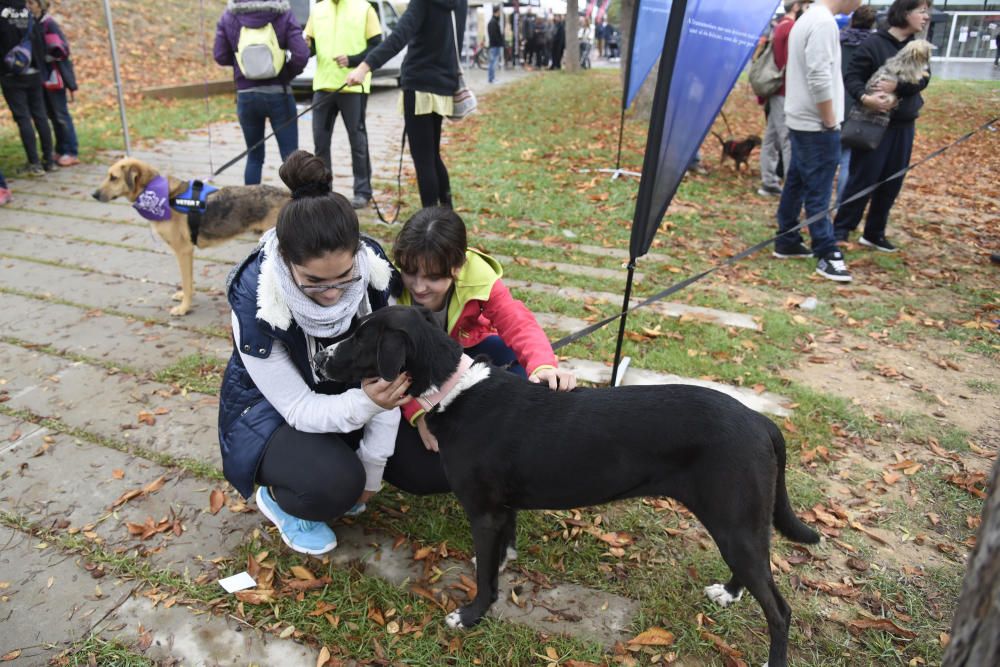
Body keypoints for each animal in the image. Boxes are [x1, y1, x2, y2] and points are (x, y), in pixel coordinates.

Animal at [93, 157, 290, 316]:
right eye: (109, 176)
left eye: (113, 177)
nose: (93, 194)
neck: (161, 196)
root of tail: (288, 194)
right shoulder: (187, 253)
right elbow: (187, 281)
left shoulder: (183, 251)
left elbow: (186, 282)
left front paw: (184, 308)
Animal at [318, 308, 820, 667]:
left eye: (362, 335)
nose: (321, 357)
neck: (455, 389)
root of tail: (760, 420)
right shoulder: (502, 508)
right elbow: (502, 549)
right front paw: (502, 562)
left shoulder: (483, 511)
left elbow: (485, 579)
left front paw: (472, 614)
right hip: (738, 522)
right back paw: (729, 594)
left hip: (734, 521)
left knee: (779, 609)